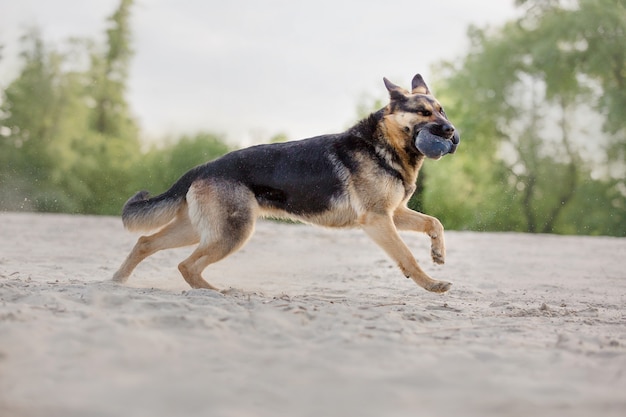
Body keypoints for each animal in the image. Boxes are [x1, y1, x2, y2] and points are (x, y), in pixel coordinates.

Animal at [112, 73, 456, 292]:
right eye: (423, 112)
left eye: (441, 110)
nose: (452, 132)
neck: (382, 145)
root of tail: (203, 167)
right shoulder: (378, 220)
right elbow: (406, 255)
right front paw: (431, 284)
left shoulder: (394, 213)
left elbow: (434, 222)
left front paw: (438, 253)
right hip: (232, 233)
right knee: (186, 265)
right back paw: (216, 292)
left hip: (200, 230)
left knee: (145, 243)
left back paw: (116, 281)